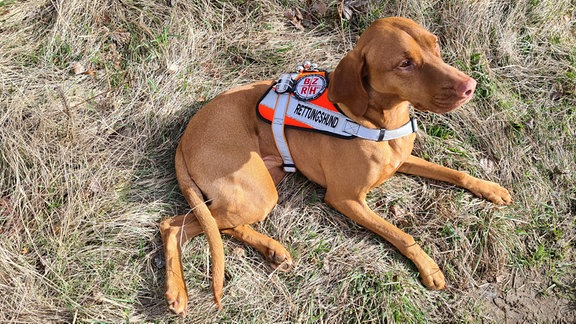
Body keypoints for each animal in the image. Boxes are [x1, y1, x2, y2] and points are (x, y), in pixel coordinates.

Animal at [159, 17, 512, 316]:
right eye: (405, 64)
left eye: (435, 44)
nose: (470, 86)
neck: (377, 121)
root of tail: (185, 136)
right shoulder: (345, 199)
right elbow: (401, 234)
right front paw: (429, 267)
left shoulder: (403, 160)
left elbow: (455, 172)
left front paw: (491, 188)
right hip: (258, 191)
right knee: (174, 225)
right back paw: (177, 291)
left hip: (263, 184)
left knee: (217, 223)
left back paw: (272, 249)